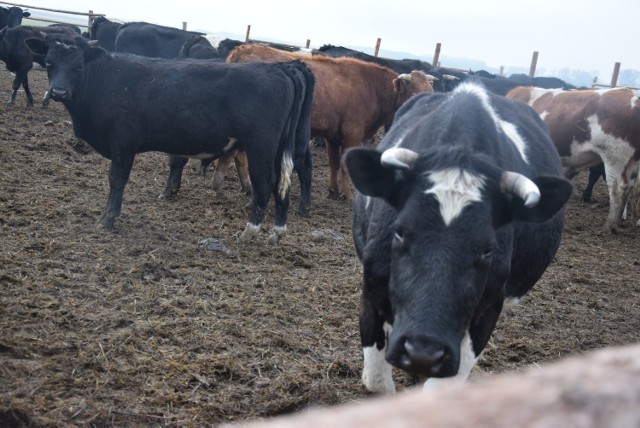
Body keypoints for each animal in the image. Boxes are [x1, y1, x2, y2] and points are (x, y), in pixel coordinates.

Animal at [26, 33, 316, 244]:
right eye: (49, 62)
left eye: (78, 66)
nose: (59, 92)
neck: (108, 80)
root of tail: (282, 68)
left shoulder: (122, 144)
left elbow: (117, 180)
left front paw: (107, 219)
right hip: (280, 148)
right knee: (282, 185)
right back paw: (277, 232)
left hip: (261, 147)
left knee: (265, 185)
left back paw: (249, 231)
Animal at [225, 42, 436, 200]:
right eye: (414, 95)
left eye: (431, 92)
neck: (372, 88)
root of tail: (244, 49)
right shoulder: (352, 135)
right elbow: (344, 165)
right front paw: (347, 194)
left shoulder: (333, 136)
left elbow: (333, 162)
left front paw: (333, 190)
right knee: (241, 156)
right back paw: (248, 186)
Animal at [342, 82, 572, 392]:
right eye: (399, 232)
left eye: (488, 250)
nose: (423, 351)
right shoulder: (372, 292)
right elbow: (377, 382)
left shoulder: (487, 310)